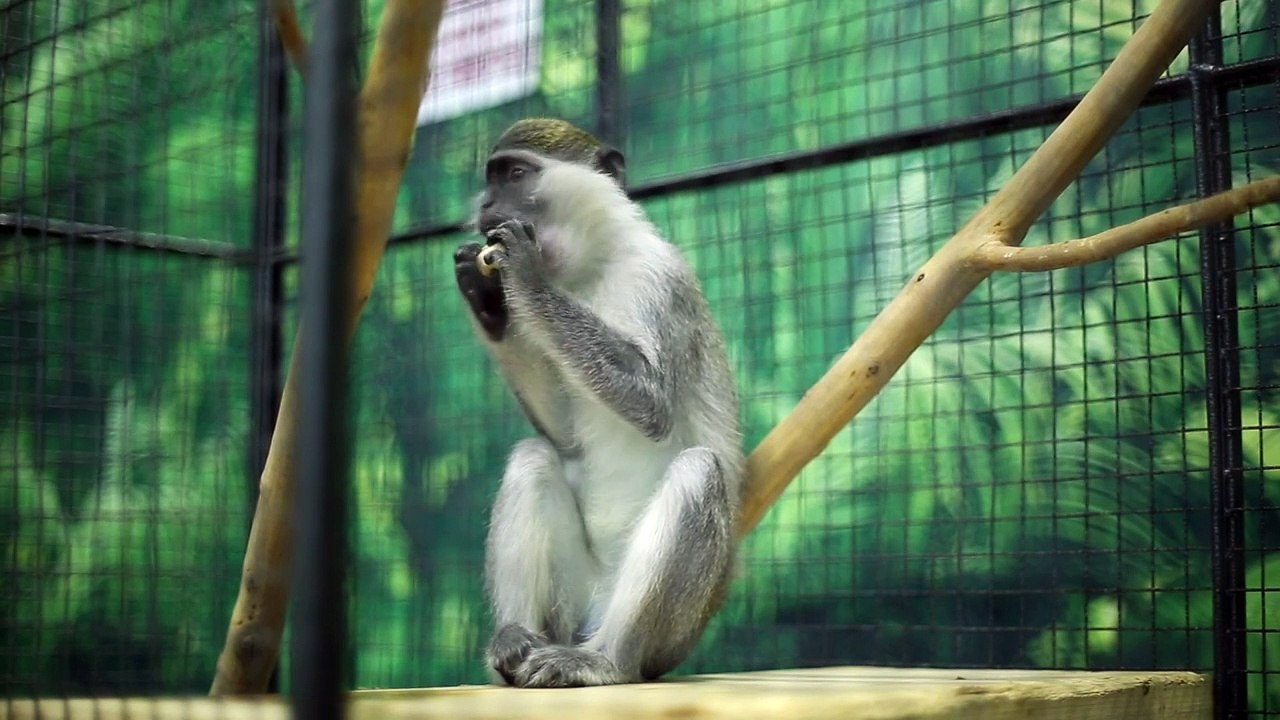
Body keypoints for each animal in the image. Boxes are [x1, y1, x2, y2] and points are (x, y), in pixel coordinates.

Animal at [452, 118, 744, 688]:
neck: (594, 263)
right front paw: (489, 297)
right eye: (491, 180)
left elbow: (653, 404)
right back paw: (514, 642)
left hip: (669, 629)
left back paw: (605, 661)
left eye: (515, 175)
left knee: (698, 470)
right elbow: (563, 437)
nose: (487, 206)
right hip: (570, 601)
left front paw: (524, 276)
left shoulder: (659, 277)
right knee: (532, 457)